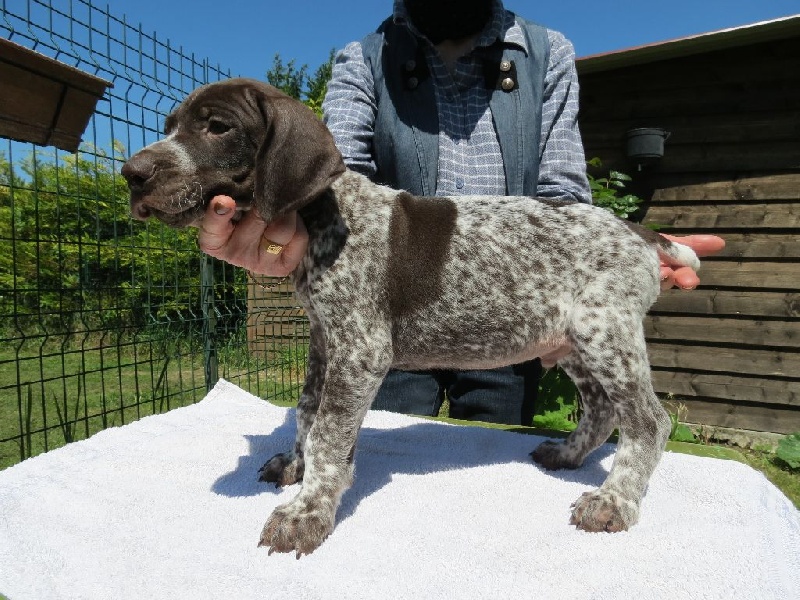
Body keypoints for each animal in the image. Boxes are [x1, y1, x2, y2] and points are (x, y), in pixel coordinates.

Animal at [122, 77, 699, 558]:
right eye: (170, 127)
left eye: (217, 127)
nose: (131, 174)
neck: (326, 215)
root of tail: (639, 233)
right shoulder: (324, 338)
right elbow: (307, 411)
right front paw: (296, 465)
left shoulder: (361, 349)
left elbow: (329, 430)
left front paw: (307, 512)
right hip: (570, 339)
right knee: (601, 410)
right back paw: (570, 456)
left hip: (604, 332)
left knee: (648, 422)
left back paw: (614, 501)